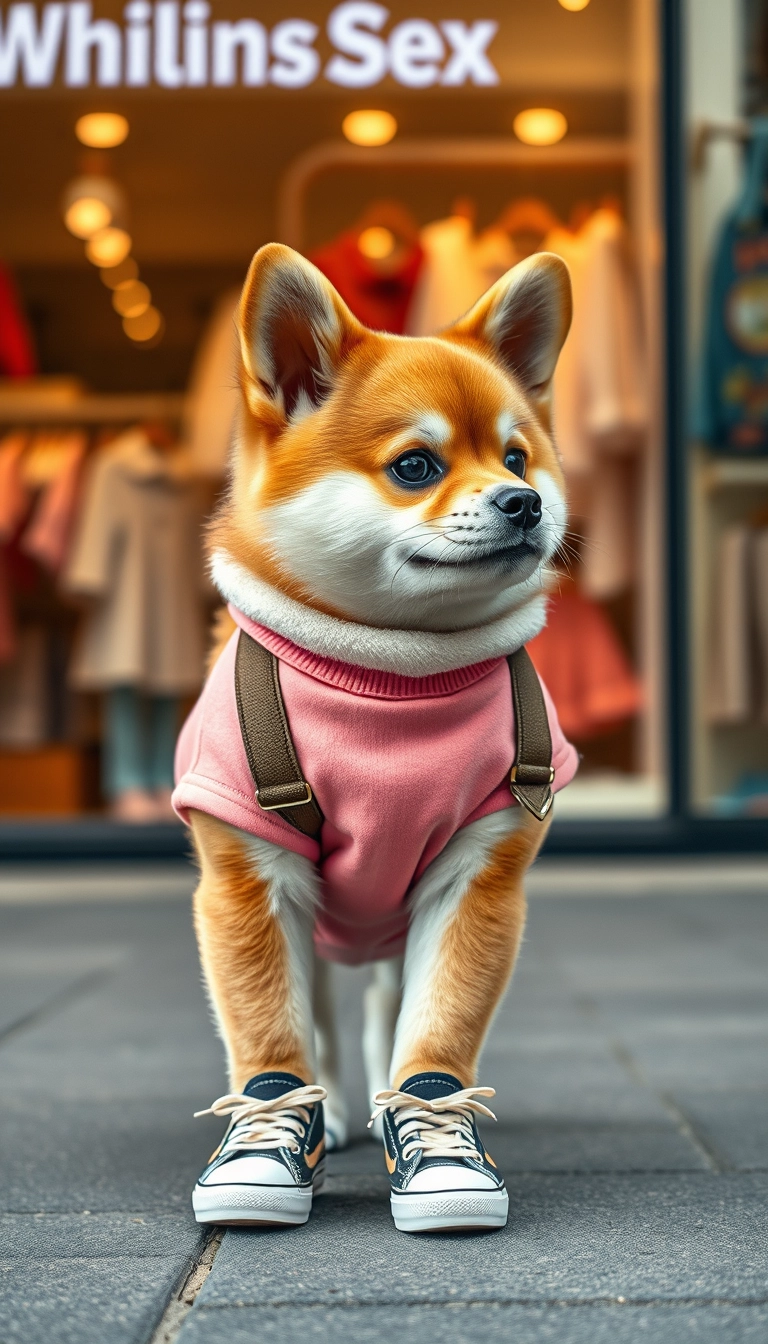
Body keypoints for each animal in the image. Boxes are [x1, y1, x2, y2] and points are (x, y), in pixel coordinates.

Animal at [174, 241, 575, 1231]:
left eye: (518, 457)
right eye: (417, 467)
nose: (523, 501)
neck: (393, 675)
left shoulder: (475, 877)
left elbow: (437, 1025)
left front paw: (439, 1147)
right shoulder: (250, 879)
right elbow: (269, 1028)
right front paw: (269, 1144)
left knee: (386, 1005)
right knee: (316, 1011)